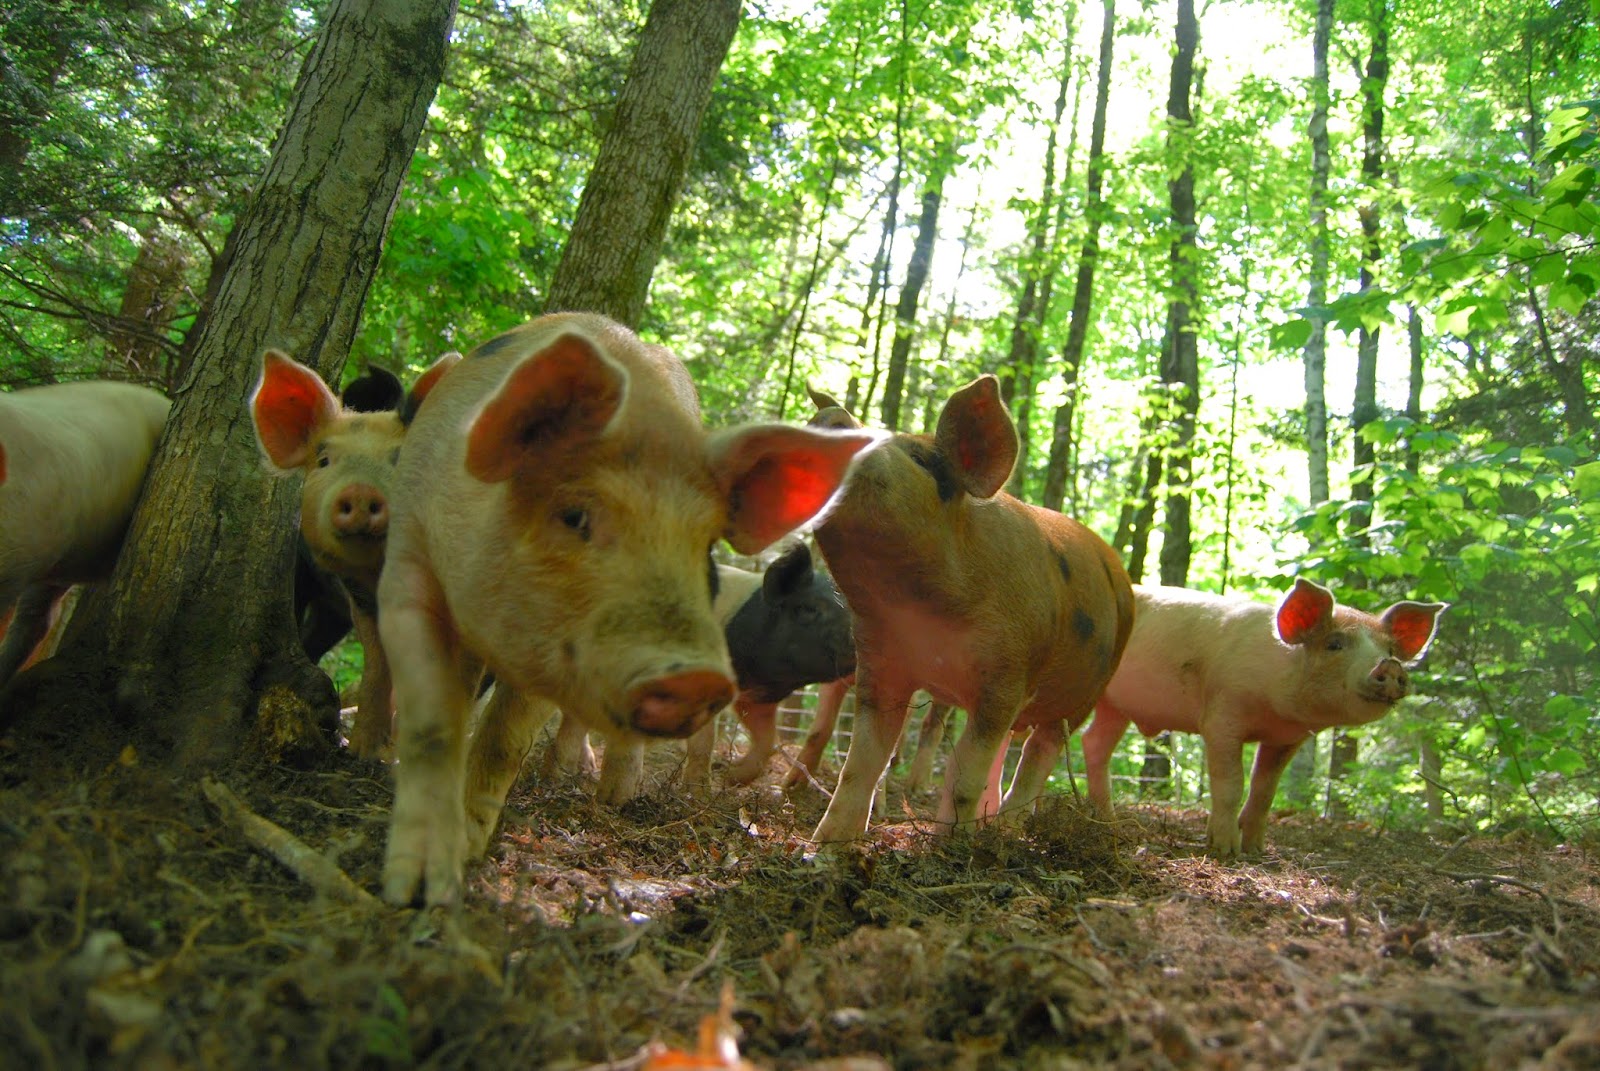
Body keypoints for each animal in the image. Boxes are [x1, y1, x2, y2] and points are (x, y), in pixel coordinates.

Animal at [250, 349, 460, 758]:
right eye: (324, 461)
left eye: (401, 459)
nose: (361, 491)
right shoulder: (359, 598)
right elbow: (379, 666)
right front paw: (362, 752)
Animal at [375, 312, 880, 905]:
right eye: (574, 515)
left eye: (704, 547)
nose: (694, 678)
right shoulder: (407, 561)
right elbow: (431, 725)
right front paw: (410, 890)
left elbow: (504, 740)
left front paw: (465, 858)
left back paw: (613, 797)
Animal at [805, 376, 1135, 842]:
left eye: (922, 460)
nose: (833, 417)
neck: (920, 615)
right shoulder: (880, 662)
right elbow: (861, 765)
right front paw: (824, 847)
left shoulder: (1008, 674)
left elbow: (962, 776)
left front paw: (949, 844)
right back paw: (990, 823)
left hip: (1085, 693)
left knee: (1039, 753)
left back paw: (1008, 830)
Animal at [1081, 579, 1447, 858]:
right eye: (1334, 644)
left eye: (1390, 650)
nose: (1391, 666)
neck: (1276, 708)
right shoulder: (1221, 716)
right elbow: (1231, 784)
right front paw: (1225, 851)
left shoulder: (1288, 738)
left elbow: (1265, 790)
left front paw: (1256, 851)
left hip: (1116, 708)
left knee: (1094, 743)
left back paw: (1108, 820)